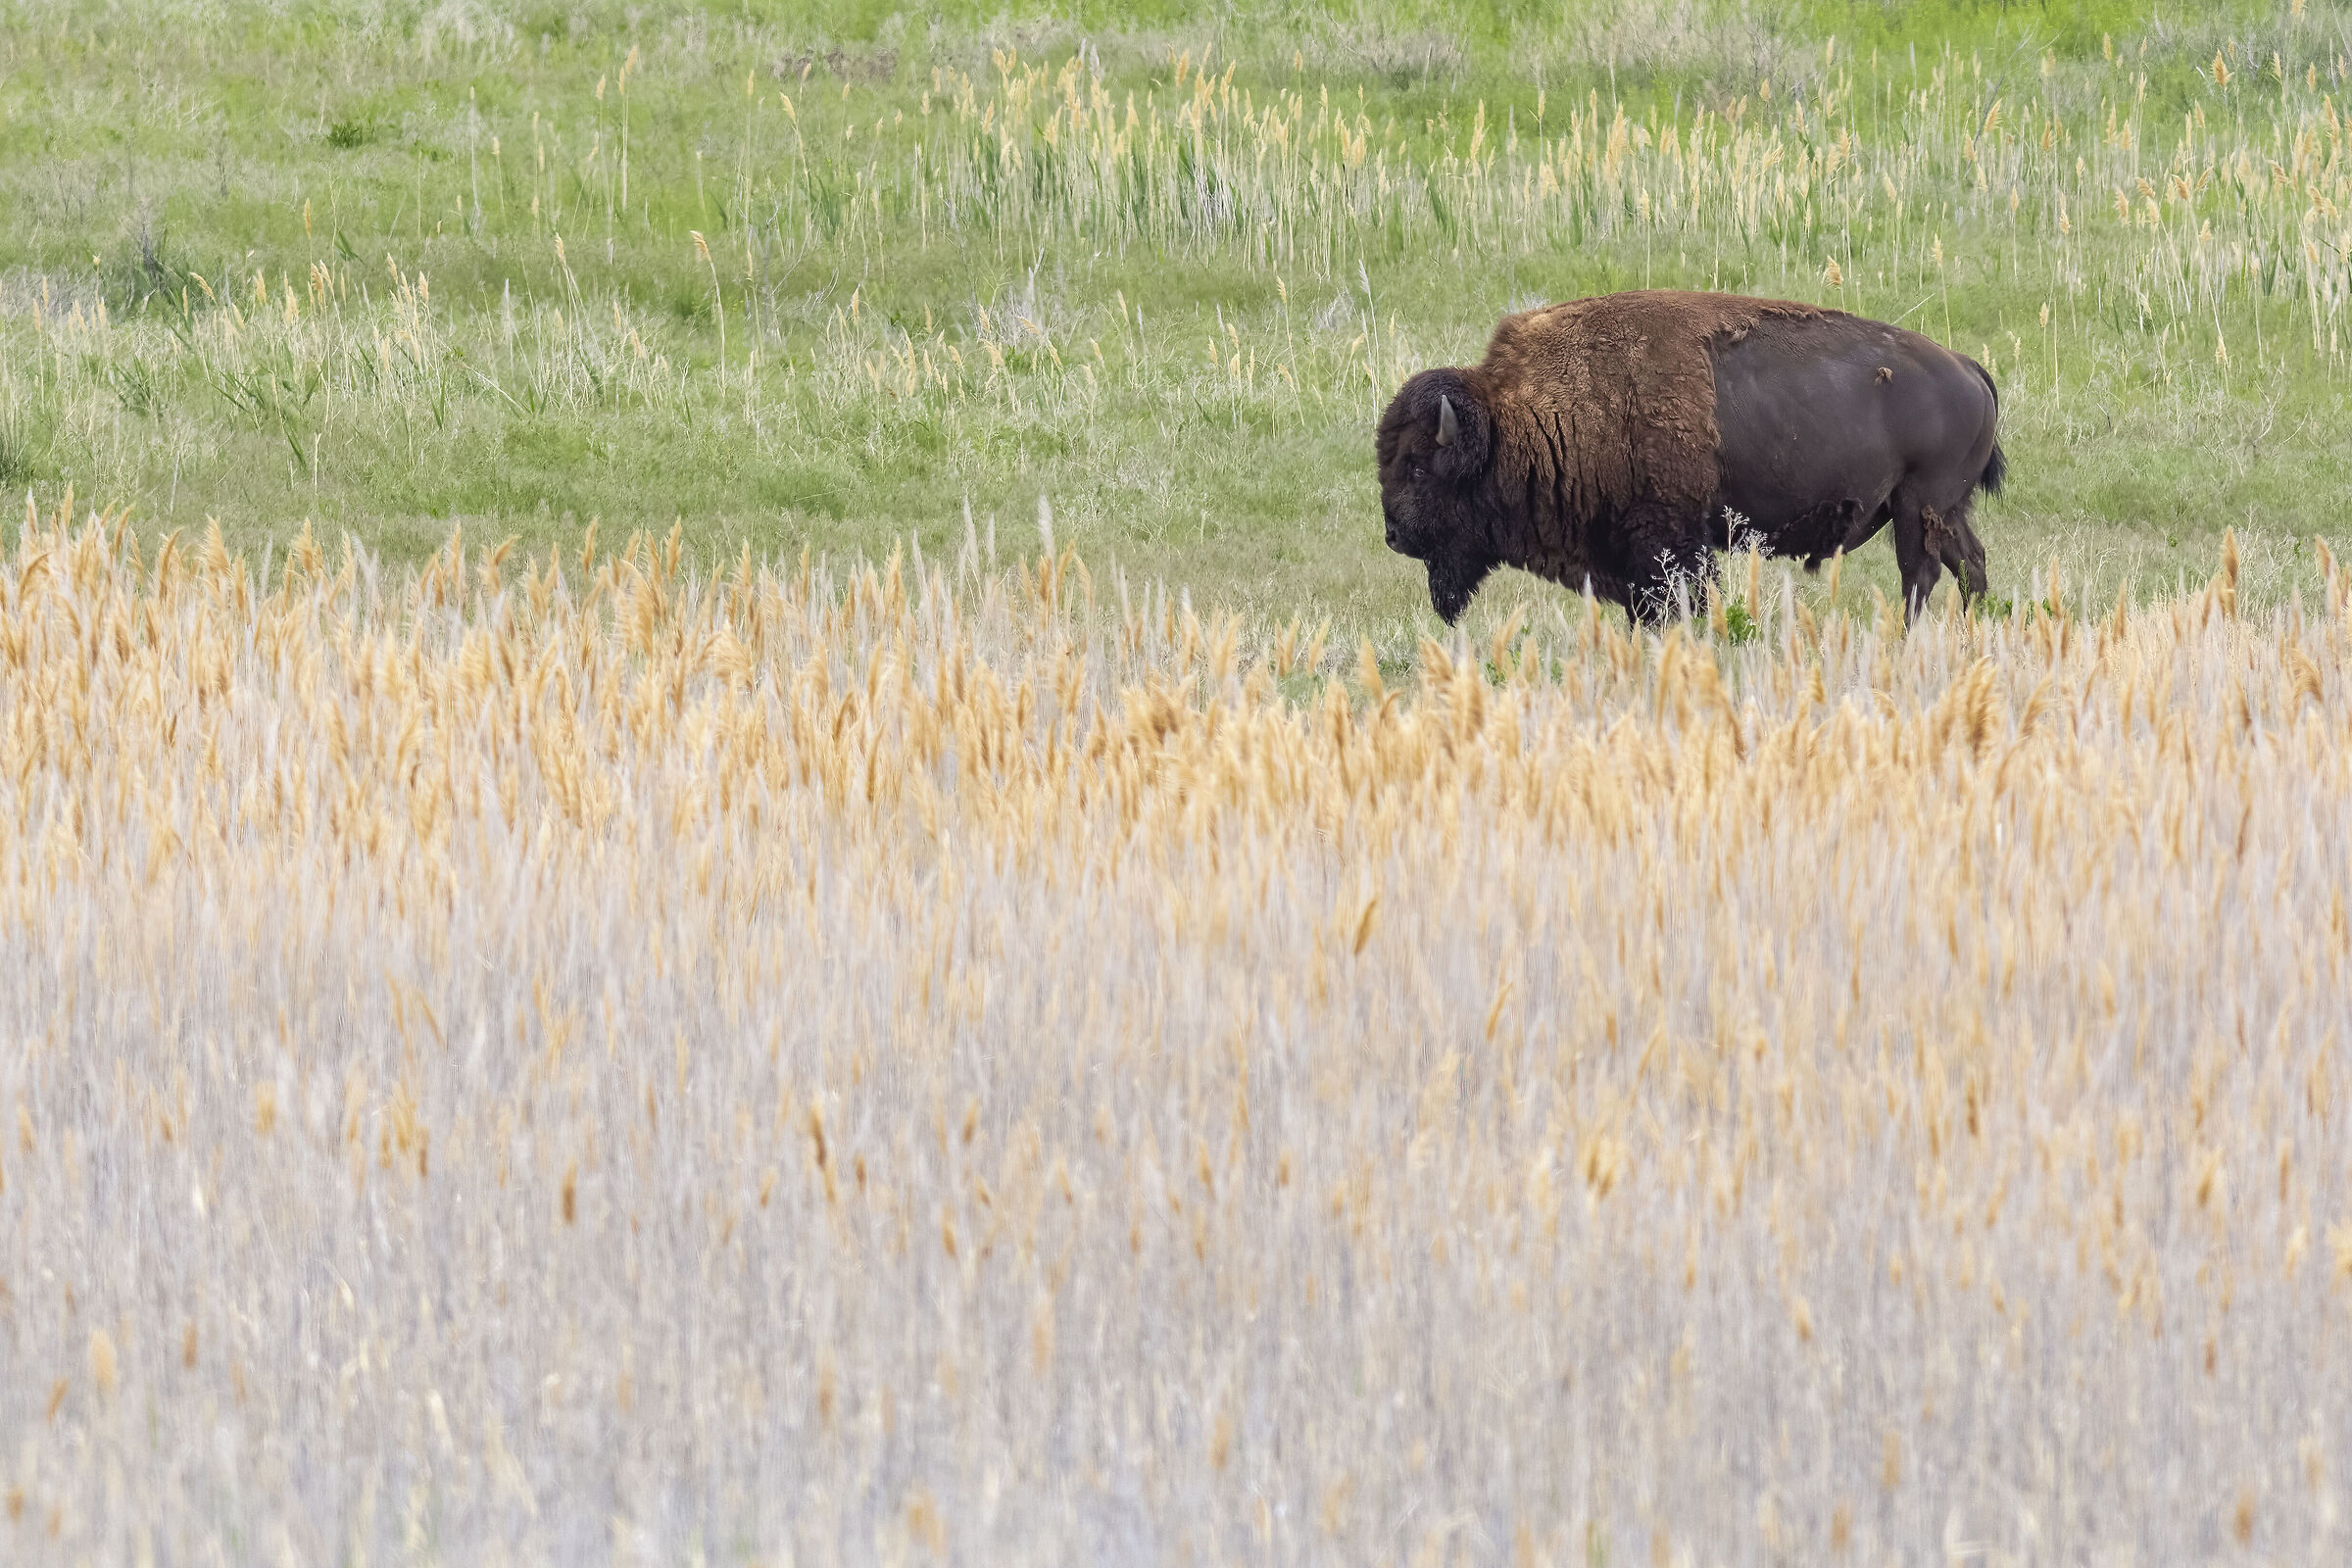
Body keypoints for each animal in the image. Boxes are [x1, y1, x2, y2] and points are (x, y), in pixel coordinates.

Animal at [1376, 290, 2005, 625]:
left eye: (1417, 465)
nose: (1394, 536)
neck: (1527, 416)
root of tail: (1968, 369)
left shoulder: (1668, 541)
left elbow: (1678, 600)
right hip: (1940, 509)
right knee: (1968, 563)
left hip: (1919, 505)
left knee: (1920, 572)